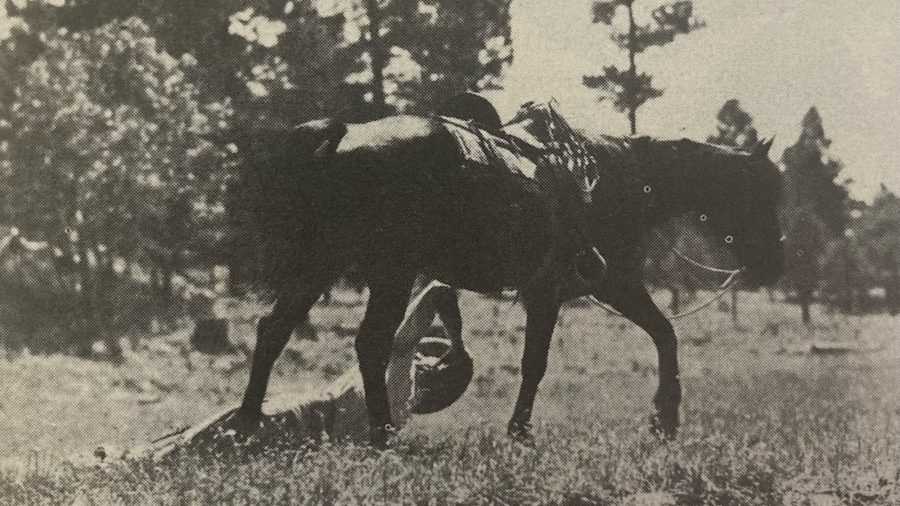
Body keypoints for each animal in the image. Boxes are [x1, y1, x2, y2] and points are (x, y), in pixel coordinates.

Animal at [227, 114, 784, 447]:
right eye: (764, 190)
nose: (776, 260)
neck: (615, 181)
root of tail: (342, 136)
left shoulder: (579, 290)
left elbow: (656, 335)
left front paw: (662, 419)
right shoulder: (587, 287)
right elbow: (545, 361)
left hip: (321, 265)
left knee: (273, 329)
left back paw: (248, 424)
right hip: (389, 271)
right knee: (369, 342)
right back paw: (382, 434)